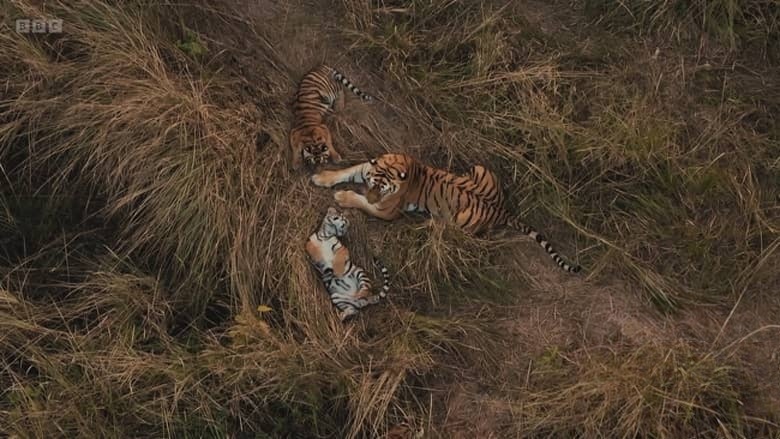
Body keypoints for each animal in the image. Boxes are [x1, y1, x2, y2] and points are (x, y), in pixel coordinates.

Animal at [311, 154, 581, 273]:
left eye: (382, 190)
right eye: (373, 185)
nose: (371, 195)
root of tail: (502, 210)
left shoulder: (387, 210)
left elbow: (360, 202)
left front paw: (342, 196)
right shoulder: (365, 168)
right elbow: (345, 172)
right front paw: (322, 177)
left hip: (460, 219)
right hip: (479, 168)